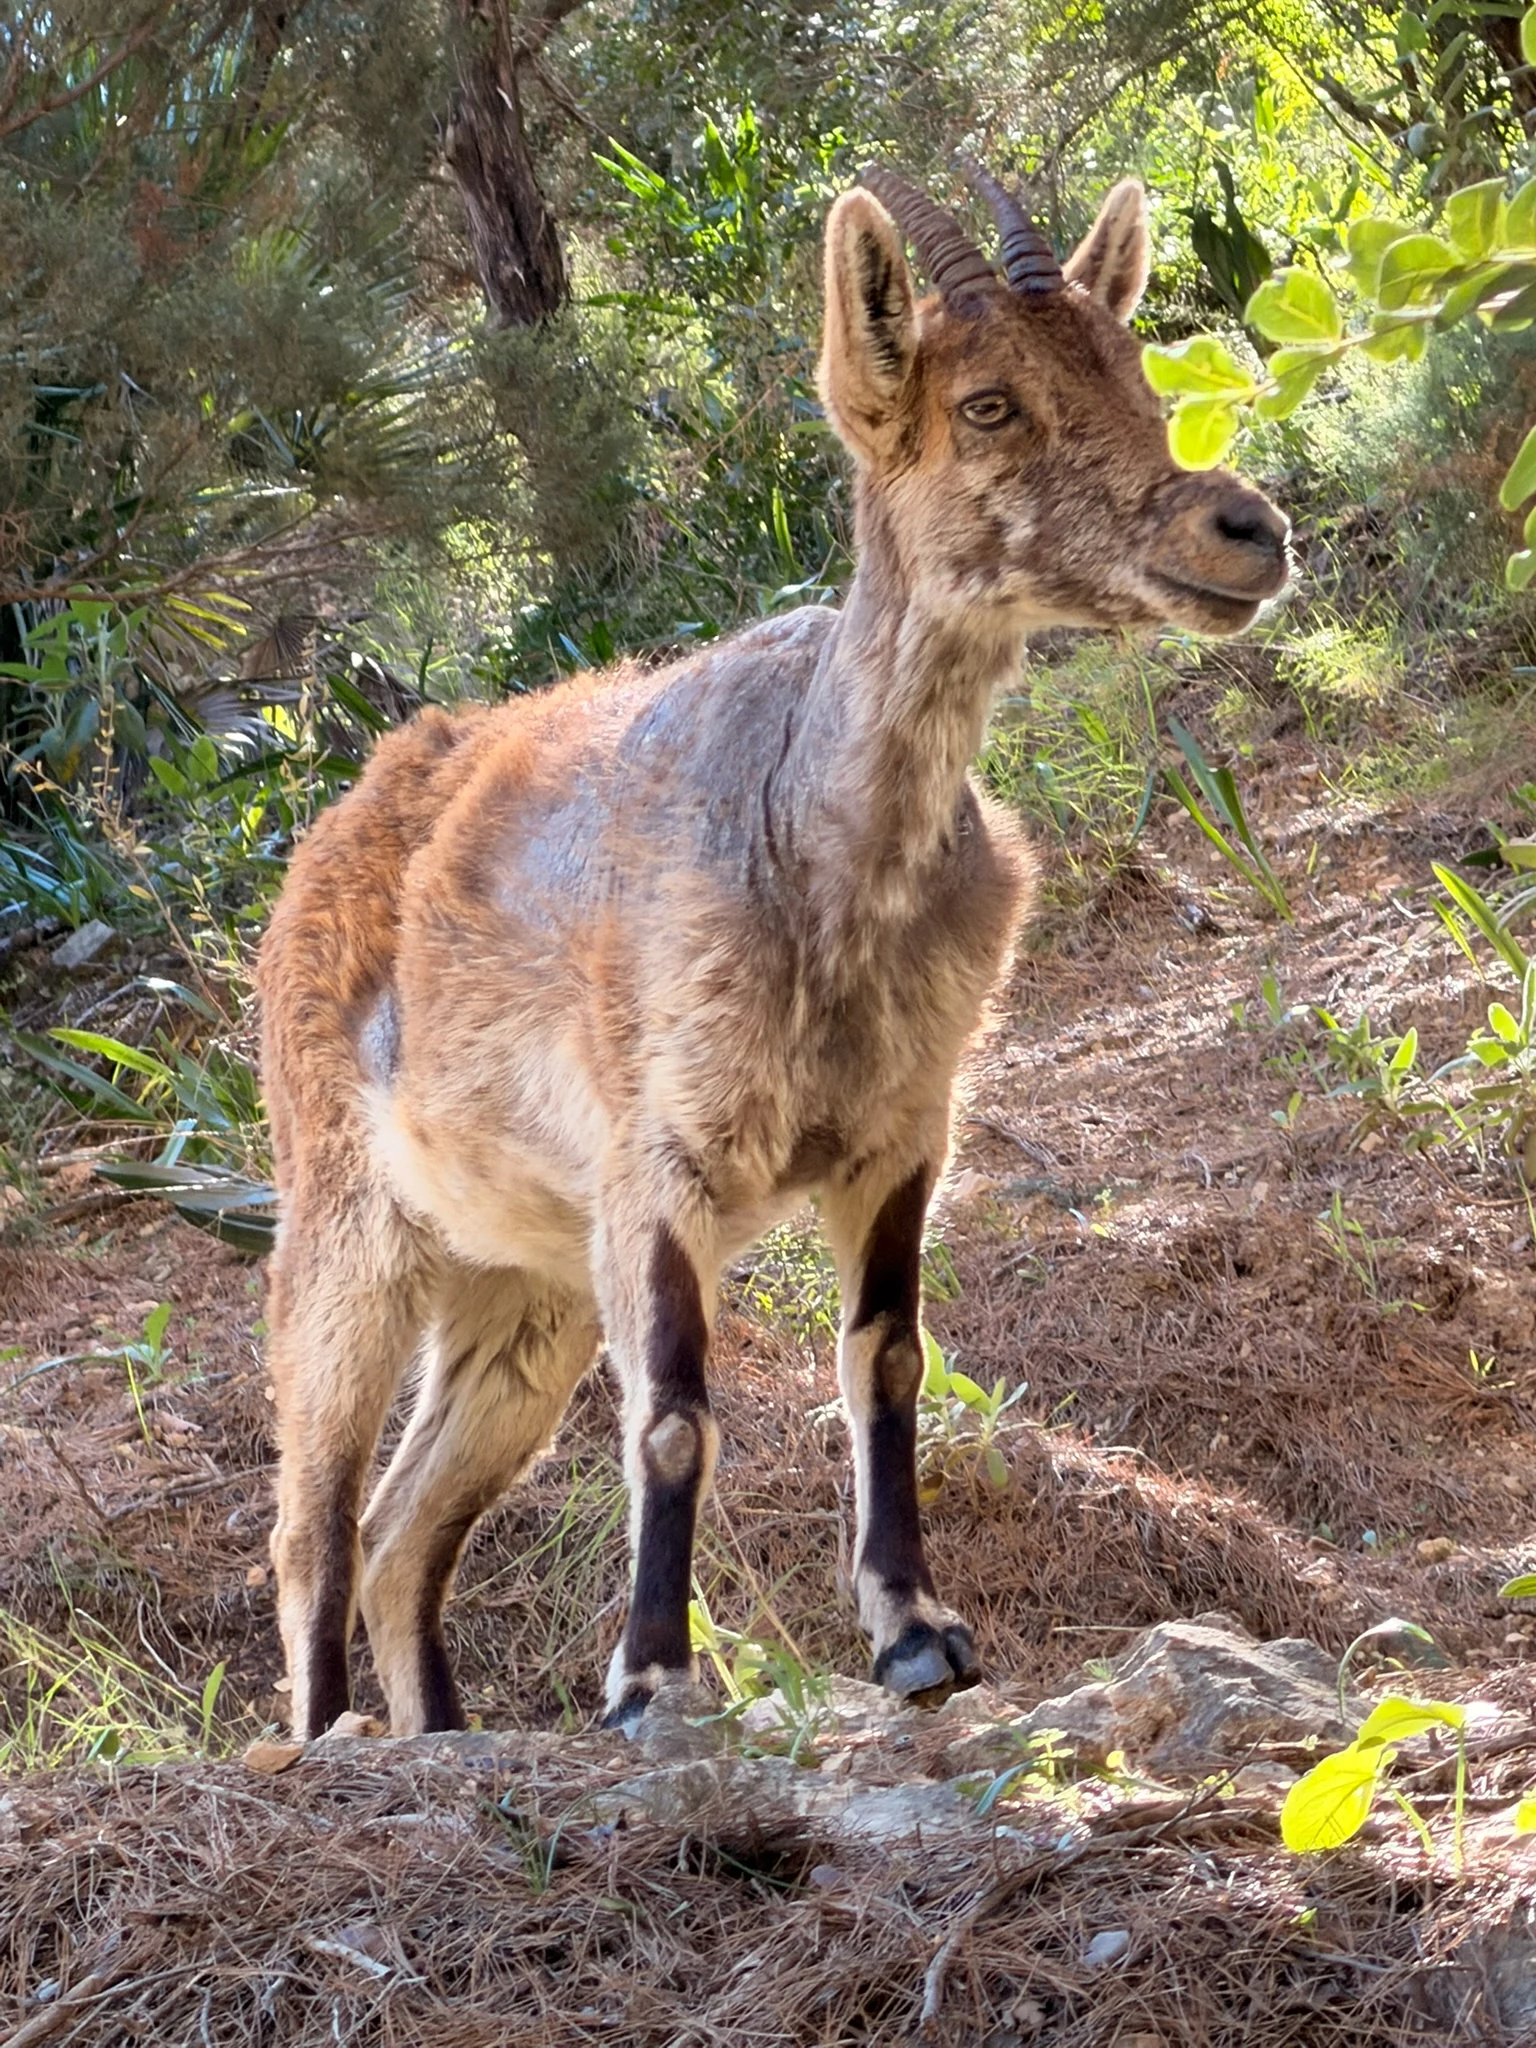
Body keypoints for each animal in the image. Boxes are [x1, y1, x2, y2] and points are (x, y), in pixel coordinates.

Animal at [258, 162, 1290, 1739]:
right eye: (988, 401)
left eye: (1130, 369)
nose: (1244, 530)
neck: (816, 861)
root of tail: (334, 831)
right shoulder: (658, 1164)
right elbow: (675, 1417)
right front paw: (652, 1681)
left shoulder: (901, 1135)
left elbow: (888, 1357)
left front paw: (917, 1632)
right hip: (346, 1222)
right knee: (312, 1519)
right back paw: (332, 1744)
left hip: (525, 1291)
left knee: (402, 1531)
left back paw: (438, 1734)